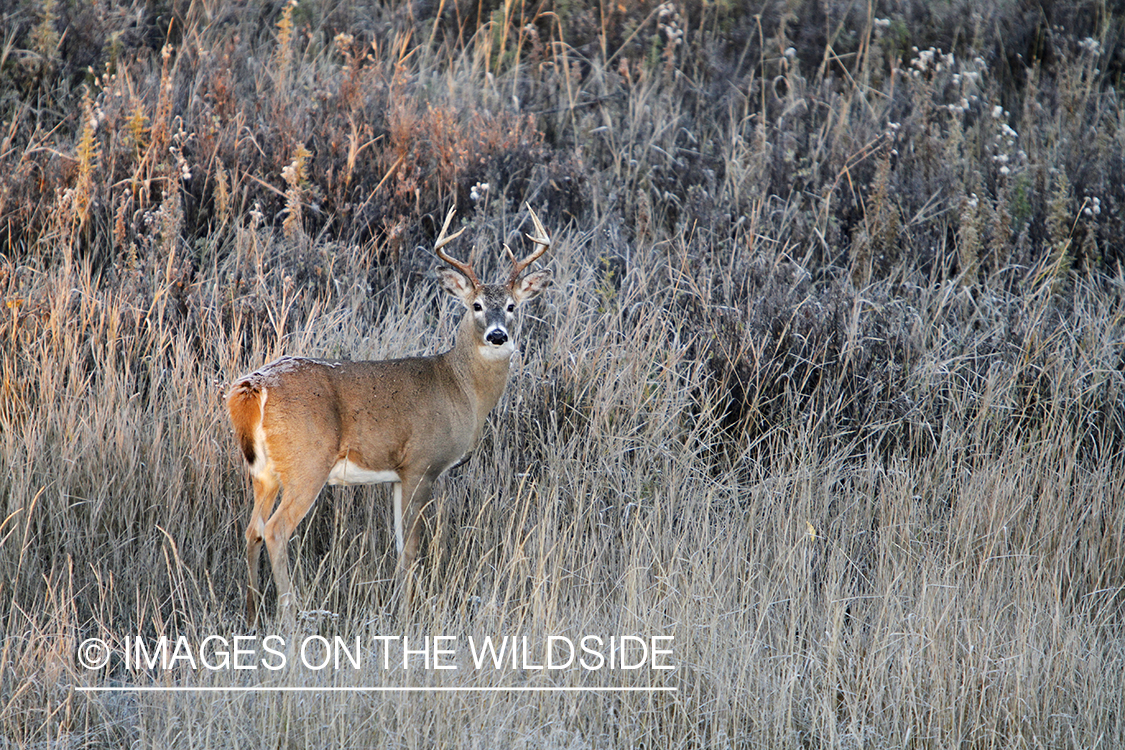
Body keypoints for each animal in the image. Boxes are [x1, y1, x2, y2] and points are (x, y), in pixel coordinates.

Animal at [226, 205, 551, 629]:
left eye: (513, 306)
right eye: (476, 306)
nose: (498, 335)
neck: (460, 387)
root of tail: (253, 386)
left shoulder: (397, 475)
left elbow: (398, 544)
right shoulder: (422, 464)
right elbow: (411, 546)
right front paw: (407, 613)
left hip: (264, 472)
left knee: (251, 530)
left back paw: (251, 615)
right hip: (307, 462)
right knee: (275, 531)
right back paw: (291, 616)